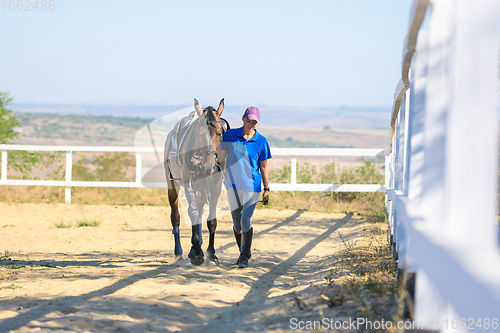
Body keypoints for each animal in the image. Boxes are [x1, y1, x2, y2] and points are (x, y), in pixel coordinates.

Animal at [164, 98, 229, 264]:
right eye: (199, 134)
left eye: (220, 133)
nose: (208, 166)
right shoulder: (189, 183)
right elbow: (192, 212)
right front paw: (196, 252)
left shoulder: (216, 185)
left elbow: (211, 219)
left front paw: (210, 253)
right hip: (173, 185)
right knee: (176, 216)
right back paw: (179, 252)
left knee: (199, 212)